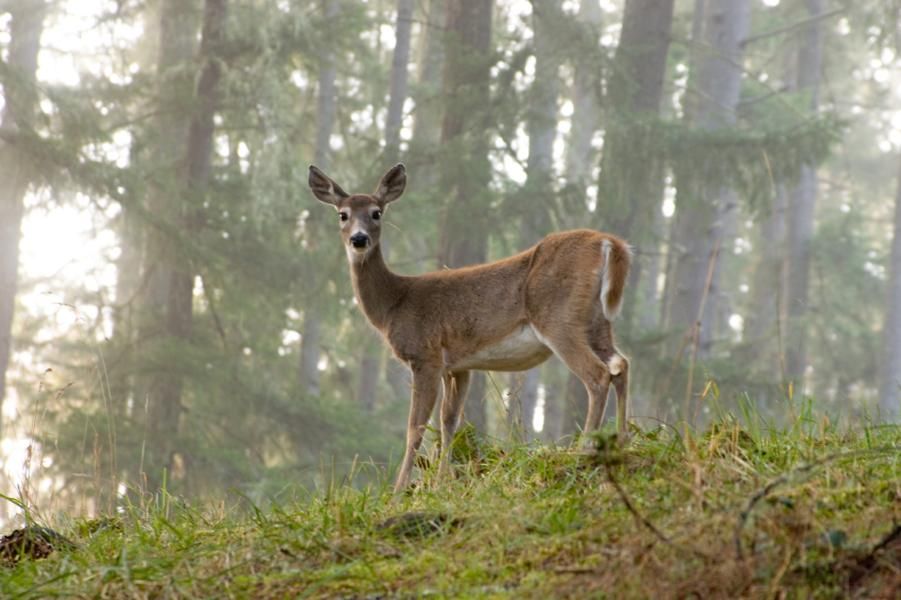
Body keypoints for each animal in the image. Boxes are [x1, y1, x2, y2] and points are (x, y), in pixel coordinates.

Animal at [310, 163, 632, 492]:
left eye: (376, 212)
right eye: (343, 214)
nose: (359, 239)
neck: (394, 303)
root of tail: (609, 243)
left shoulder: (425, 355)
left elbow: (416, 427)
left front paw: (399, 491)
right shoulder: (458, 365)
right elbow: (449, 421)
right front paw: (441, 482)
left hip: (558, 318)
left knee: (598, 375)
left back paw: (585, 451)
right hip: (596, 320)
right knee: (621, 364)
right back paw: (622, 441)